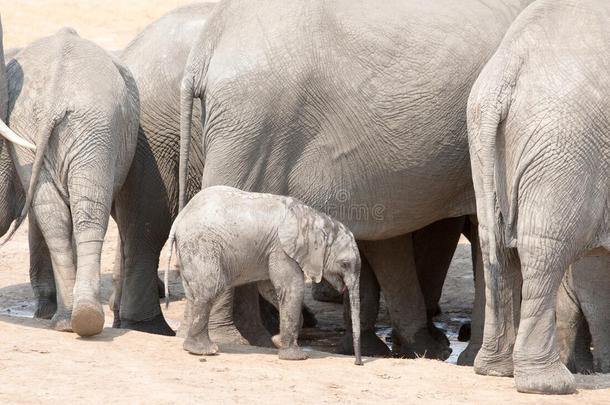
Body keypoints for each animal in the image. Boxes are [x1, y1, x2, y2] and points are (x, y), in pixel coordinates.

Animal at [167, 185, 360, 362]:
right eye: (345, 264)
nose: (358, 363)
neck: (317, 219)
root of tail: (179, 219)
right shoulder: (282, 248)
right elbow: (292, 287)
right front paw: (296, 357)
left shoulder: (273, 251)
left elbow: (270, 289)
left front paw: (277, 341)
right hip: (202, 245)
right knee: (209, 288)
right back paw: (205, 351)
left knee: (195, 292)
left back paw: (193, 347)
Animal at [466, 0, 604, 392]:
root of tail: (506, 72)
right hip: (564, 146)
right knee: (544, 249)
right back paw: (550, 384)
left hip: (484, 140)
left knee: (494, 243)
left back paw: (495, 370)